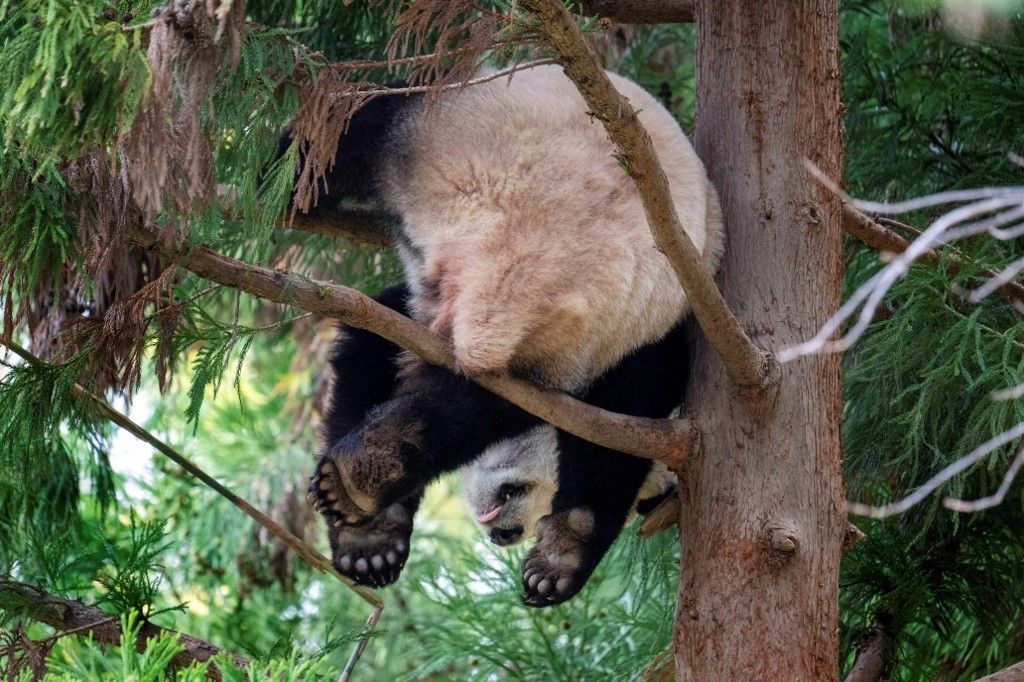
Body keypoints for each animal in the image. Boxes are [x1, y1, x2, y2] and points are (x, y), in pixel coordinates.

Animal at [304, 64, 724, 606]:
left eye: (648, 501)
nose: (504, 534)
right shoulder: (661, 345)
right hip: (456, 124)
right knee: (355, 126)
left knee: (480, 398)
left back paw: (369, 474)